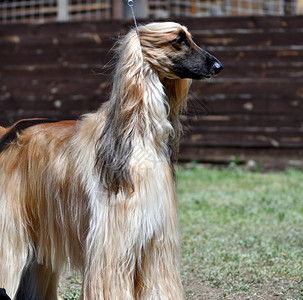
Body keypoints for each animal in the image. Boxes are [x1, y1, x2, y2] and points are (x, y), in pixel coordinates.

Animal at [0, 22, 223, 298]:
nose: (218, 66)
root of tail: (7, 132)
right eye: (179, 40)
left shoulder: (157, 242)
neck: (139, 134)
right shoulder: (113, 242)